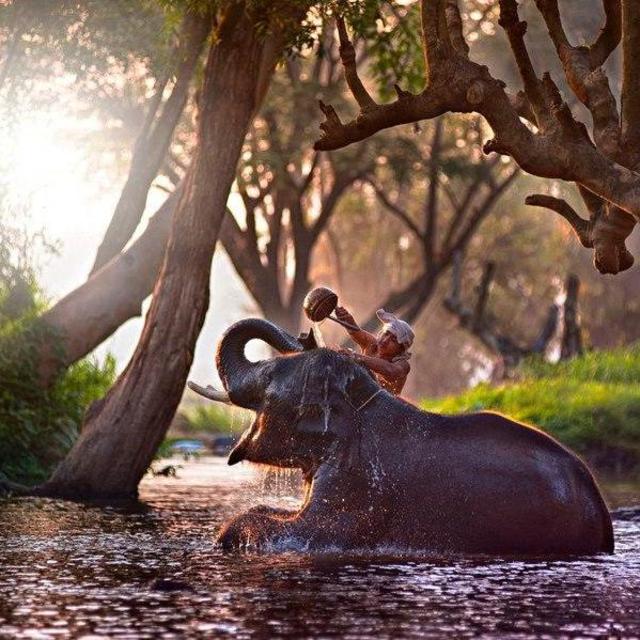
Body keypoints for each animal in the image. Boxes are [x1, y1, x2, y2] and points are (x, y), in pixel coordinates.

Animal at [205, 318, 613, 555]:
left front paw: (226, 536)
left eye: (270, 376)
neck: (360, 399)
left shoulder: (361, 482)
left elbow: (312, 531)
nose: (308, 331)